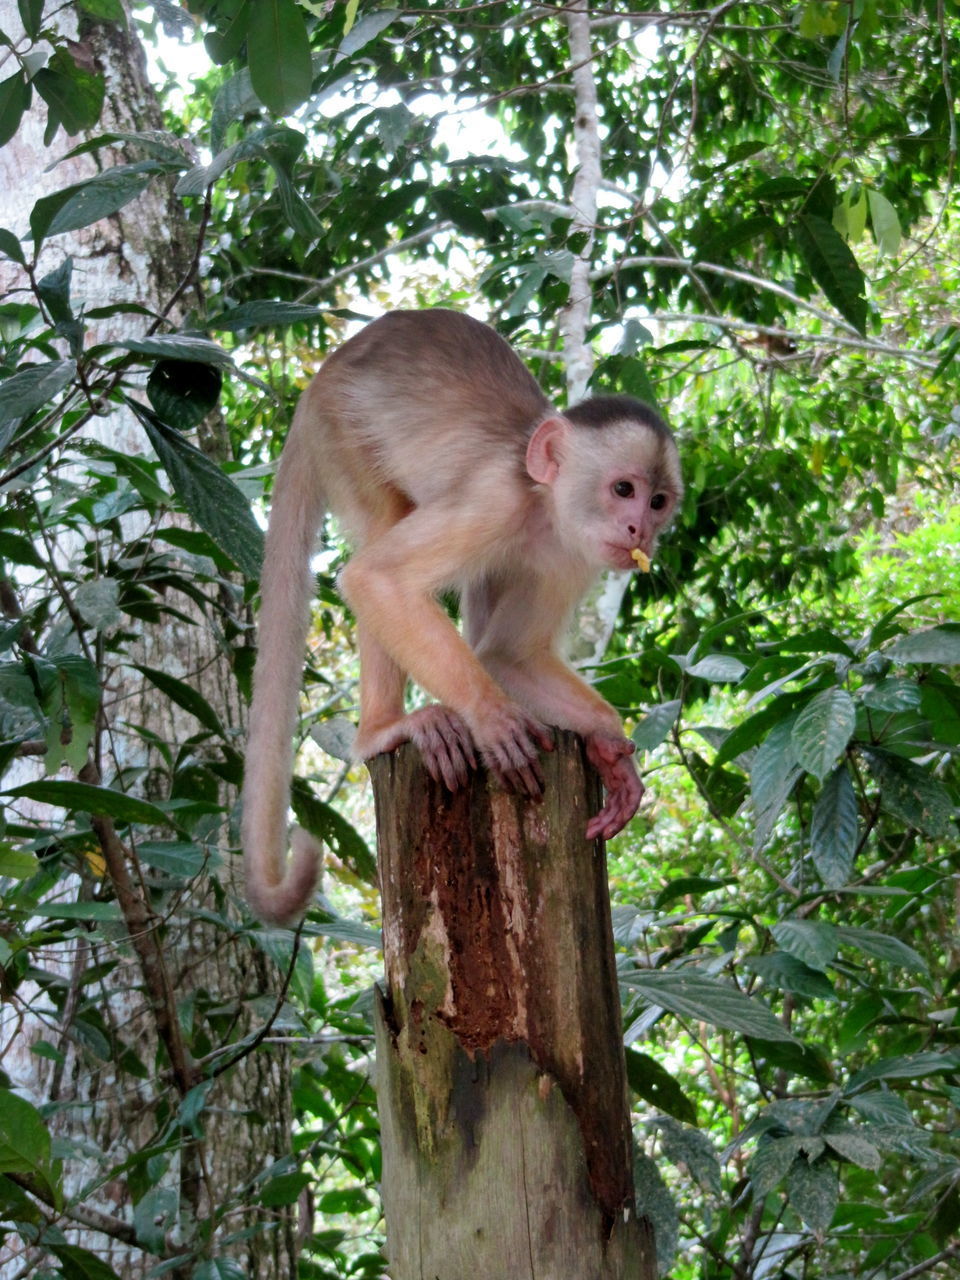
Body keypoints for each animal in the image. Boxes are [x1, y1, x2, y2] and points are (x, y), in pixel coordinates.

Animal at [241, 304, 686, 926]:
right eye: (624, 489)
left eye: (658, 501)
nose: (639, 530)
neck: (541, 505)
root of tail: (320, 379)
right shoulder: (495, 500)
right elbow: (378, 581)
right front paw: (491, 716)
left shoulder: (571, 555)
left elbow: (509, 656)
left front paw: (606, 743)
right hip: (340, 426)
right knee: (383, 525)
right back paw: (385, 729)